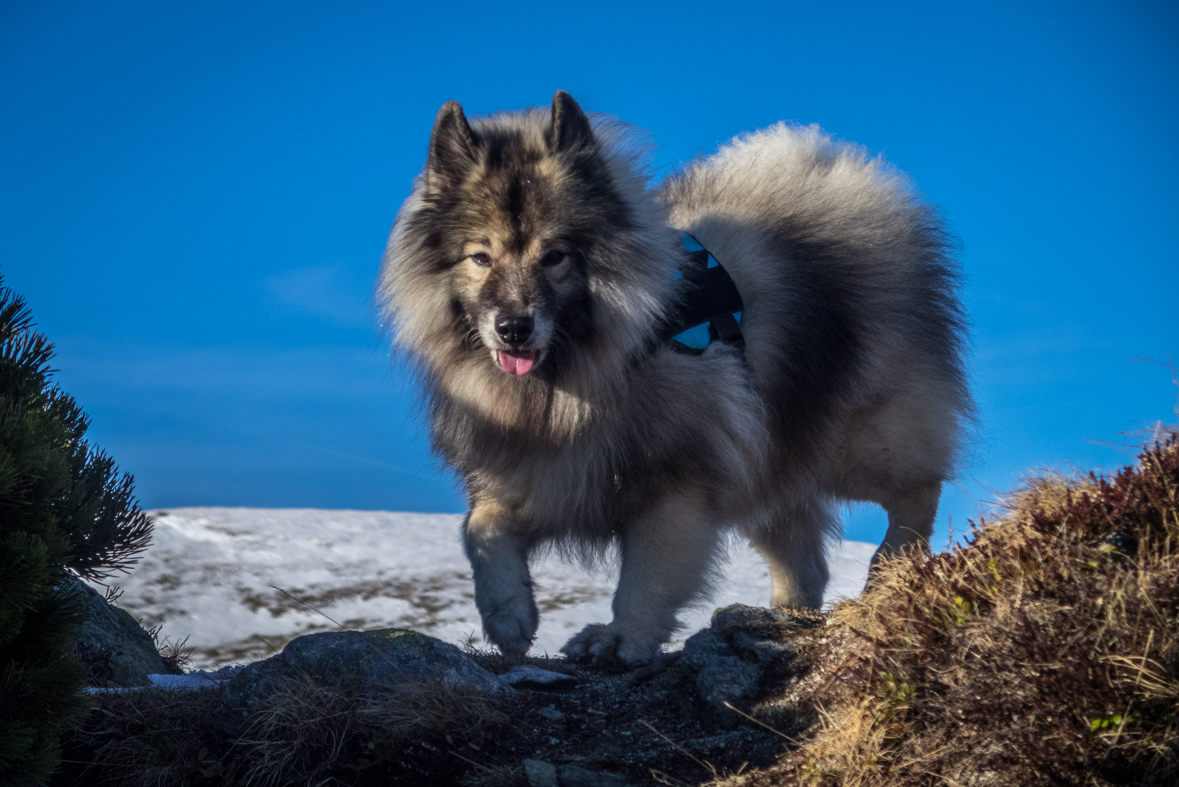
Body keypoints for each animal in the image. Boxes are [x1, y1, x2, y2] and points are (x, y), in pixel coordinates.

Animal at [377, 95, 966, 669]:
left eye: (555, 257)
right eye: (480, 257)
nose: (514, 327)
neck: (570, 380)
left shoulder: (675, 485)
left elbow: (647, 577)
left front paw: (622, 638)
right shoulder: (544, 472)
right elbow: (480, 529)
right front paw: (509, 617)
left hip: (857, 440)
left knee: (918, 489)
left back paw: (892, 566)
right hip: (769, 457)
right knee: (804, 560)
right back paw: (783, 616)